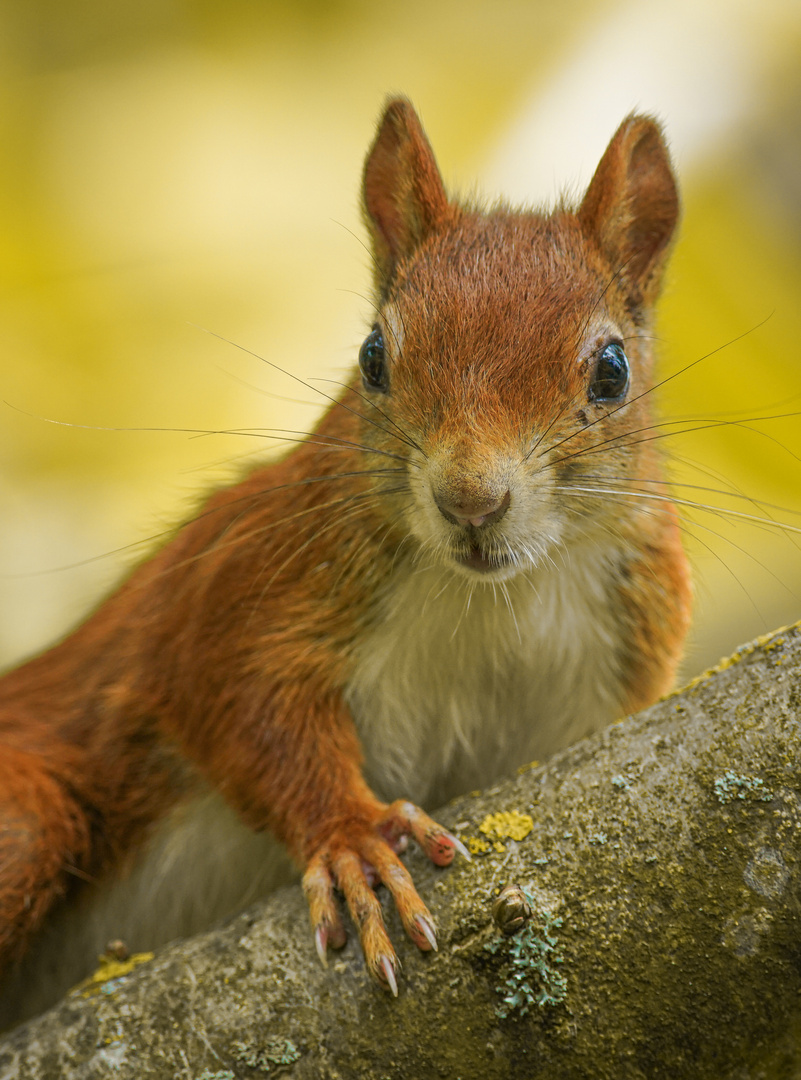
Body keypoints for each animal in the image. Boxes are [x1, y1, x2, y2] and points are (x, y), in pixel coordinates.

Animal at [0, 95, 690, 1019]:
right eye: (372, 357)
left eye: (611, 371)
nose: (471, 502)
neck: (492, 599)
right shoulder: (248, 574)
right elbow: (232, 694)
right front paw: (354, 836)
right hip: (27, 819)